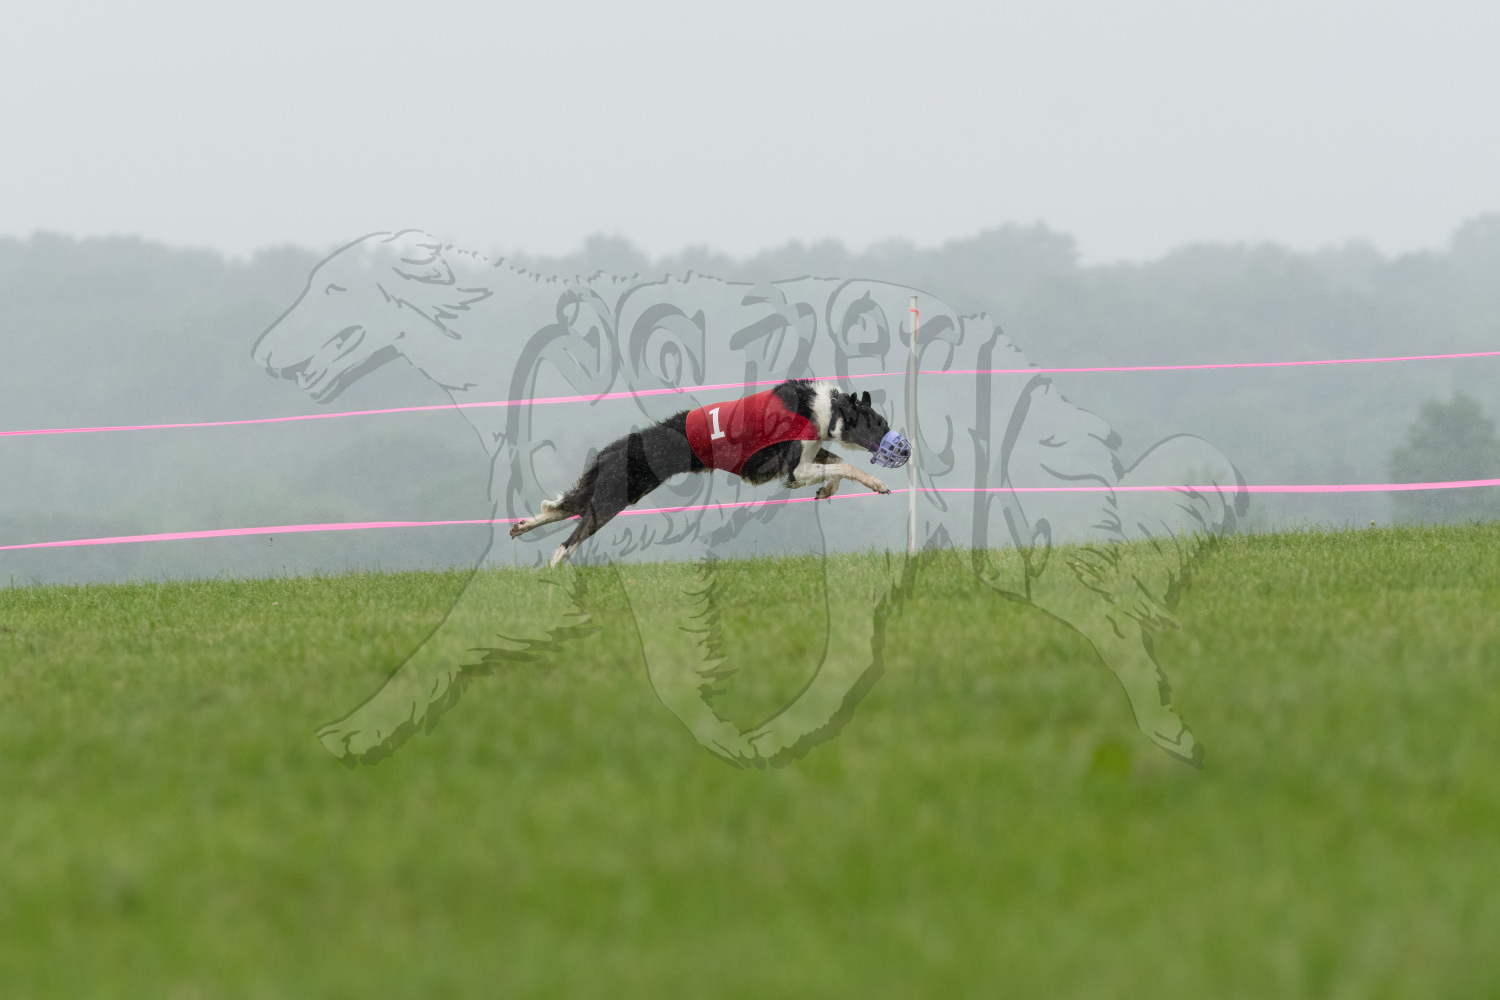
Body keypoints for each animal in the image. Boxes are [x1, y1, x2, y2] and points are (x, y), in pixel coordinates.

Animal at [509, 381, 906, 567]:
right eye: (879, 423)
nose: (902, 447)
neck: (823, 408)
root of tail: (616, 448)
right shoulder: (794, 469)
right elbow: (846, 464)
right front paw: (877, 483)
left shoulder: (808, 457)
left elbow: (838, 467)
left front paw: (828, 490)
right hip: (616, 496)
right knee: (568, 538)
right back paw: (554, 571)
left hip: (616, 491)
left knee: (563, 508)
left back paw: (521, 527)